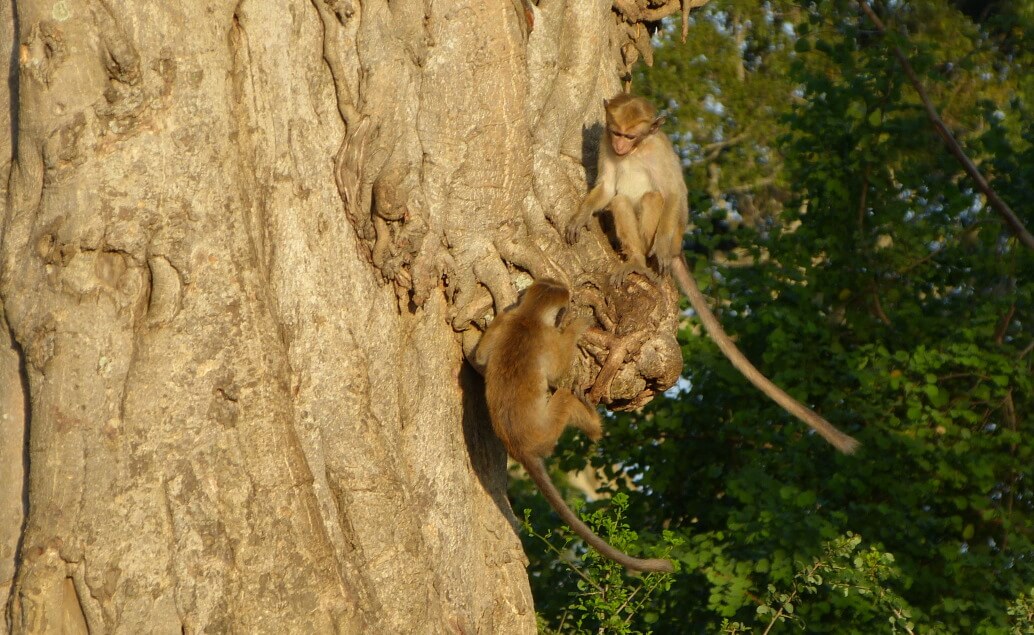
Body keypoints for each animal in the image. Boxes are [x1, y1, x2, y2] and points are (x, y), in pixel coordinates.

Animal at [473, 281, 674, 575]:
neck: (529, 317)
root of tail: (521, 448)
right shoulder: (547, 337)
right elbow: (557, 373)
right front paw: (576, 326)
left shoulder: (507, 322)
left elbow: (480, 358)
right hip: (548, 430)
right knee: (565, 397)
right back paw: (593, 423)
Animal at [566, 92, 856, 455]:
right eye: (617, 133)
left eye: (631, 136)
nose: (620, 146)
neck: (636, 151)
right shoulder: (605, 146)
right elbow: (606, 189)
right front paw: (580, 216)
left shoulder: (659, 151)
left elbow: (674, 194)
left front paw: (660, 251)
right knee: (619, 201)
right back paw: (632, 260)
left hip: (668, 234)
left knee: (653, 198)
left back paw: (647, 263)